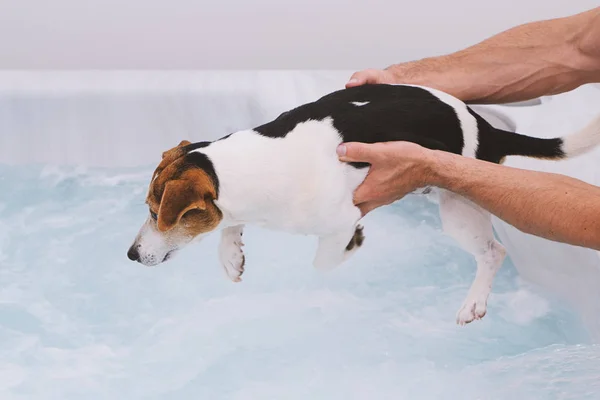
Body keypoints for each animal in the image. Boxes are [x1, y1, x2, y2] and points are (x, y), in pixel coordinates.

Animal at [126, 83, 600, 324]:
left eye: (154, 213)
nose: (131, 254)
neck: (259, 161)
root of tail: (487, 127)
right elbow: (229, 223)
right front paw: (231, 254)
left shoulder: (337, 218)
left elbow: (323, 260)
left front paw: (354, 244)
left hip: (460, 206)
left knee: (494, 251)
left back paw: (475, 302)